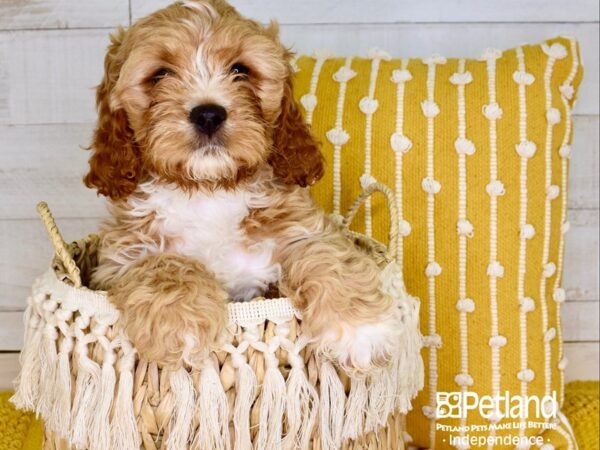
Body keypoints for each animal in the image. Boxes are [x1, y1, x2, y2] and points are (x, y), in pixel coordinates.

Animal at [85, 0, 404, 372]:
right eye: (160, 75)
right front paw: (182, 328)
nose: (208, 114)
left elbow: (325, 254)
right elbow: (162, 265)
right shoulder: (119, 257)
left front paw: (362, 330)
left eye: (241, 70)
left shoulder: (299, 231)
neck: (209, 187)